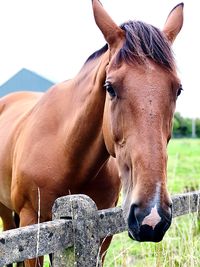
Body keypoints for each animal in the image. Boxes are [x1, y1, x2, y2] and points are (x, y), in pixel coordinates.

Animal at [0, 1, 183, 266]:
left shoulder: (102, 234)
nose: (151, 216)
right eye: (110, 87)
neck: (65, 151)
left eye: (178, 89)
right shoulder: (31, 224)